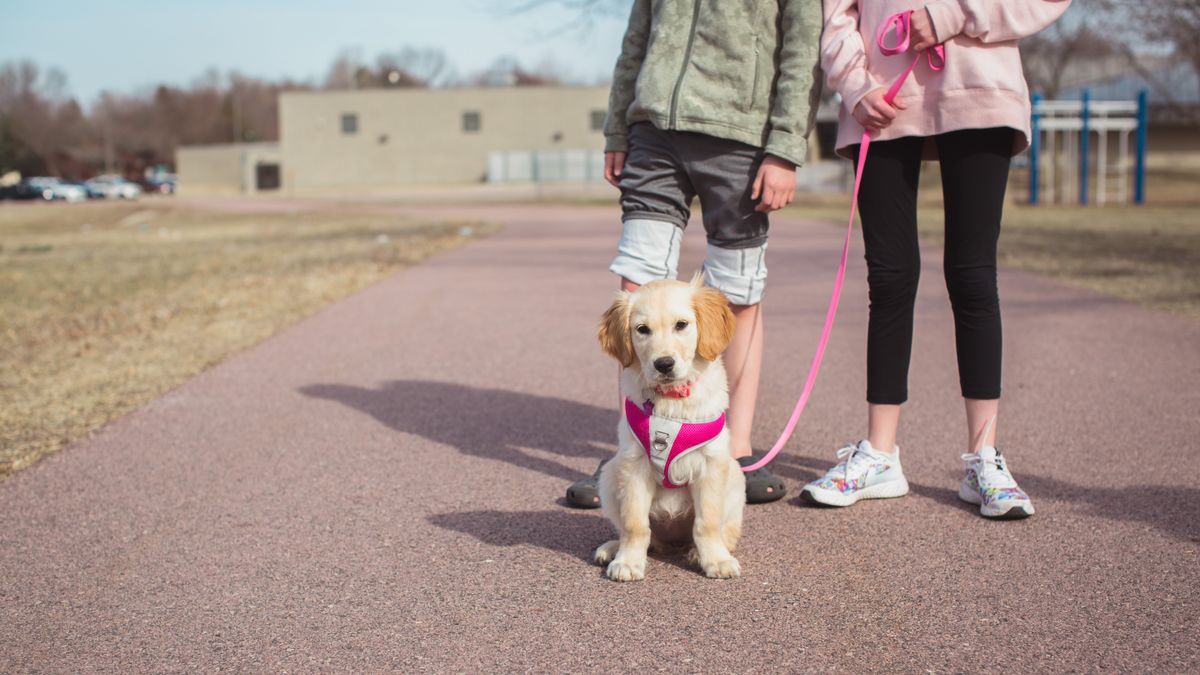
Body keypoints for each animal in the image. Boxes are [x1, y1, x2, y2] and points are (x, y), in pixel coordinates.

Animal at [588, 273, 744, 578]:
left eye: (681, 325)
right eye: (642, 329)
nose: (663, 364)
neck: (671, 400)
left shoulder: (712, 464)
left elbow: (707, 522)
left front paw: (716, 560)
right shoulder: (633, 464)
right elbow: (635, 524)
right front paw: (628, 561)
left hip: (735, 479)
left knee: (724, 531)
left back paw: (699, 552)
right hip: (610, 474)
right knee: (642, 534)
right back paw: (613, 548)